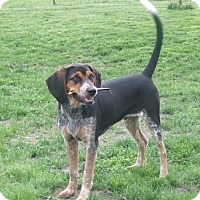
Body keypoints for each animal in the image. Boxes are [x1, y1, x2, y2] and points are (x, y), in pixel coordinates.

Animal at [46, 0, 167, 199]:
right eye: (76, 78)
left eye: (91, 76)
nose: (92, 91)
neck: (74, 111)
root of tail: (144, 75)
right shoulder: (69, 141)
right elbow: (73, 170)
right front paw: (70, 190)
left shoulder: (91, 144)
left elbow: (87, 174)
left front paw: (82, 195)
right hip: (131, 121)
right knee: (143, 141)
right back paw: (138, 166)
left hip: (153, 119)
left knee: (161, 148)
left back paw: (163, 175)